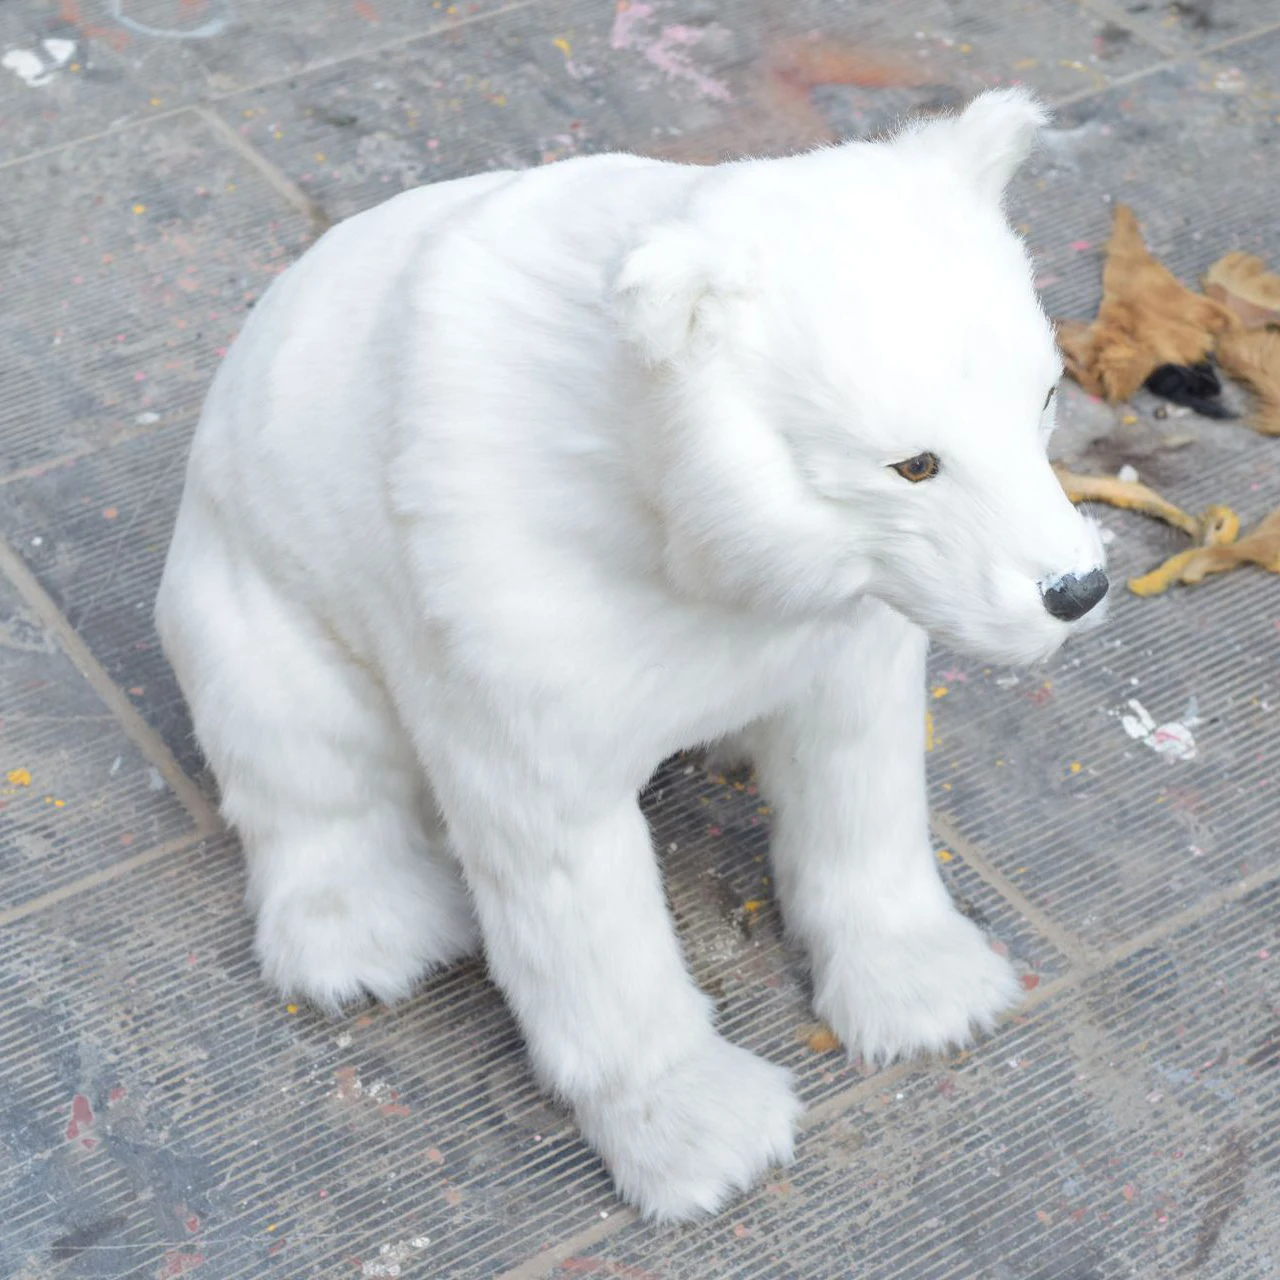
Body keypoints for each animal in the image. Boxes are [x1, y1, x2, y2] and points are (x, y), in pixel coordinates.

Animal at [155, 88, 1107, 1221]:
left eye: (1042, 399)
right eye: (912, 464)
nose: (1076, 590)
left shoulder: (851, 627)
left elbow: (859, 784)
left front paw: (923, 987)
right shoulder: (512, 658)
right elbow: (578, 906)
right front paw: (694, 1129)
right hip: (257, 604)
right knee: (307, 765)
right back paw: (366, 931)